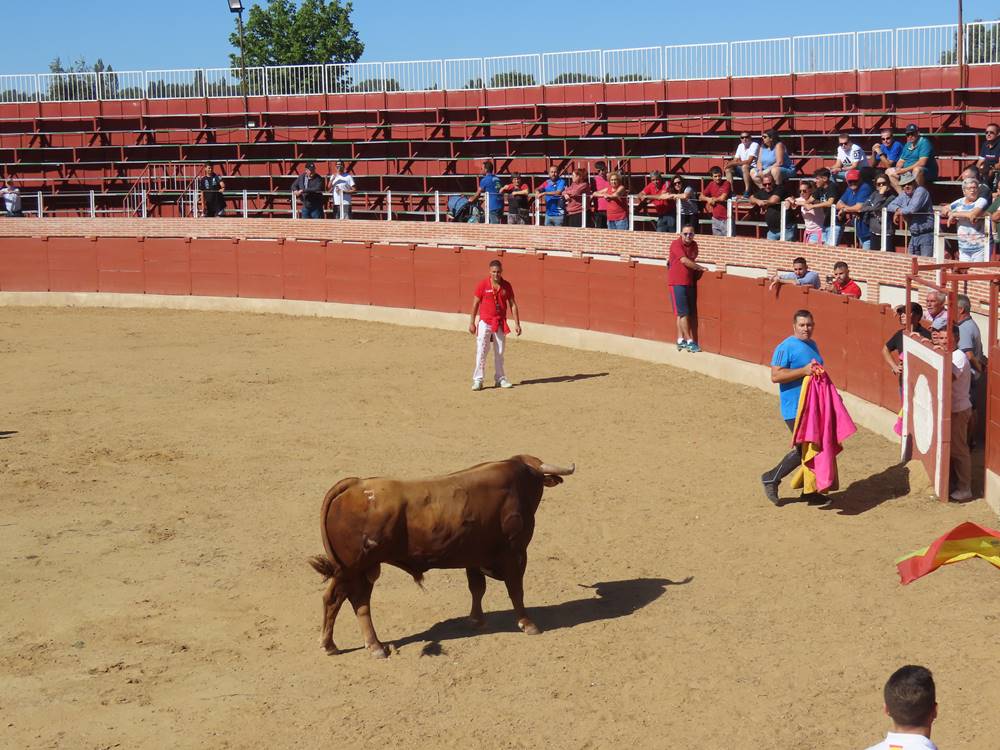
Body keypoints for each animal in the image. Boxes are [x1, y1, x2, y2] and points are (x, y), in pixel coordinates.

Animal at [304, 452, 576, 656]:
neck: (517, 484)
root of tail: (355, 484)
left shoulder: (473, 556)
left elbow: (477, 588)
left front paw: (476, 620)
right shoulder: (515, 553)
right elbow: (516, 591)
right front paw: (528, 624)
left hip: (349, 570)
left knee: (335, 599)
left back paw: (330, 644)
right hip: (358, 569)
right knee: (356, 602)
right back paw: (375, 646)